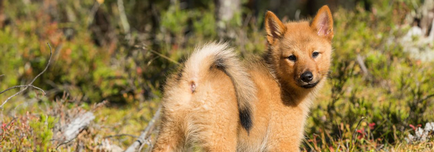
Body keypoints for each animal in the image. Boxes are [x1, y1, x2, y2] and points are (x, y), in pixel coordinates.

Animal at [153, 5, 332, 151]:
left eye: (315, 54)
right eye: (291, 57)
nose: (307, 76)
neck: (279, 82)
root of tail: (195, 75)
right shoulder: (283, 142)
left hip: (169, 136)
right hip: (219, 142)